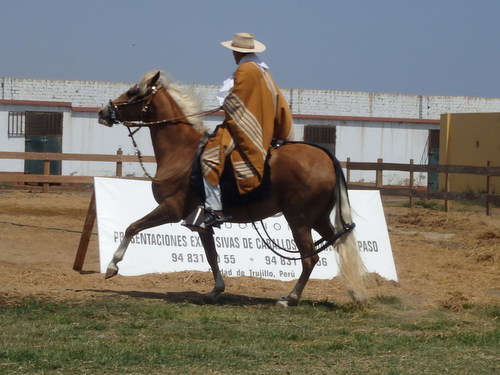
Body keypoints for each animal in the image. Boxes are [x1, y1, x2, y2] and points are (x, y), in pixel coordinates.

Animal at [97, 71, 368, 308]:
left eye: (133, 92)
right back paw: (355, 292)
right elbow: (211, 255)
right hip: (317, 218)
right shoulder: (200, 223)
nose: (103, 111)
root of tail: (326, 157)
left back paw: (290, 298)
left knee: (310, 257)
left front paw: (112, 266)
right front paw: (215, 290)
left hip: (298, 219)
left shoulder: (171, 210)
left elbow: (132, 227)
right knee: (339, 243)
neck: (182, 152)